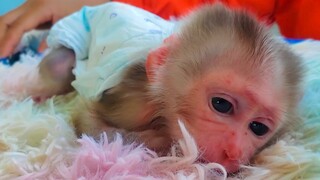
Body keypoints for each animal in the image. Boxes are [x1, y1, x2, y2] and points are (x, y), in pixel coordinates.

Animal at [29, 2, 302, 173]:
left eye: (258, 127)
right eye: (221, 104)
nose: (234, 153)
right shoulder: (133, 102)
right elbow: (89, 122)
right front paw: (163, 142)